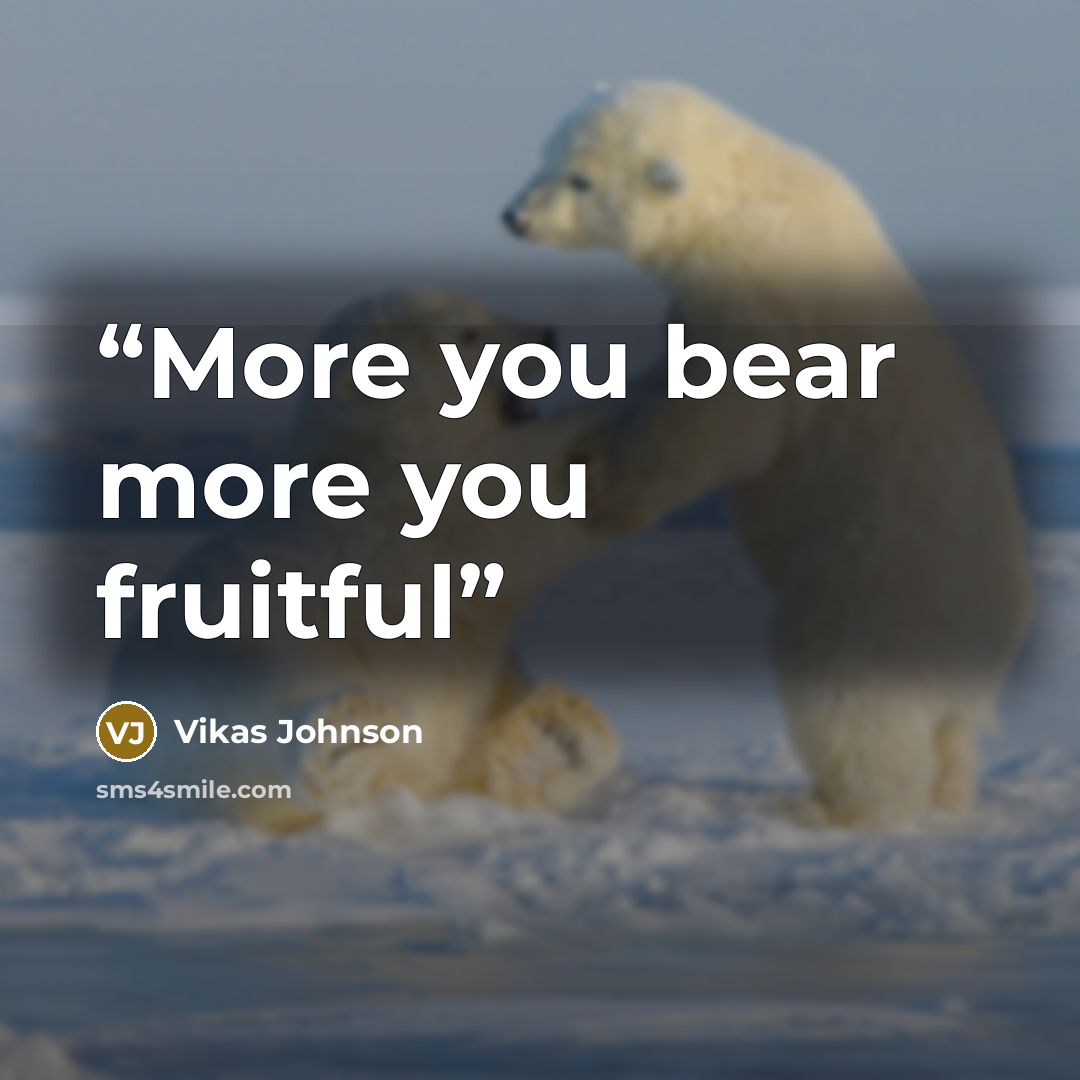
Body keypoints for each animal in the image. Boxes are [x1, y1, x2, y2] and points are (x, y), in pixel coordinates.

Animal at [109, 291, 620, 831]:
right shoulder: (403, 521)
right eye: (468, 333)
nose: (549, 334)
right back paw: (345, 738)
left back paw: (561, 730)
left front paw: (560, 734)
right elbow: (507, 503)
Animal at [502, 80, 1034, 829]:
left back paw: (836, 808)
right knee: (953, 729)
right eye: (546, 155)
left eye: (580, 179)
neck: (743, 192)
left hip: (870, 576)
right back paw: (949, 792)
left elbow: (723, 415)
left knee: (852, 696)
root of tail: (998, 623)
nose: (515, 216)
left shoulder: (762, 292)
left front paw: (605, 483)